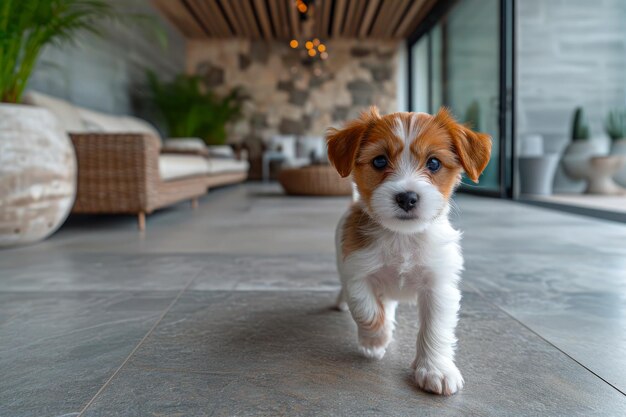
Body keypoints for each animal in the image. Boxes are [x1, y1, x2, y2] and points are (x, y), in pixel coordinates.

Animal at [324, 105, 490, 394]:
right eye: (379, 161)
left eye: (433, 163)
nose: (407, 197)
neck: (403, 238)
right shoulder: (357, 272)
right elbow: (367, 310)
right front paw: (376, 340)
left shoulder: (439, 285)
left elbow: (435, 328)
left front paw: (435, 370)